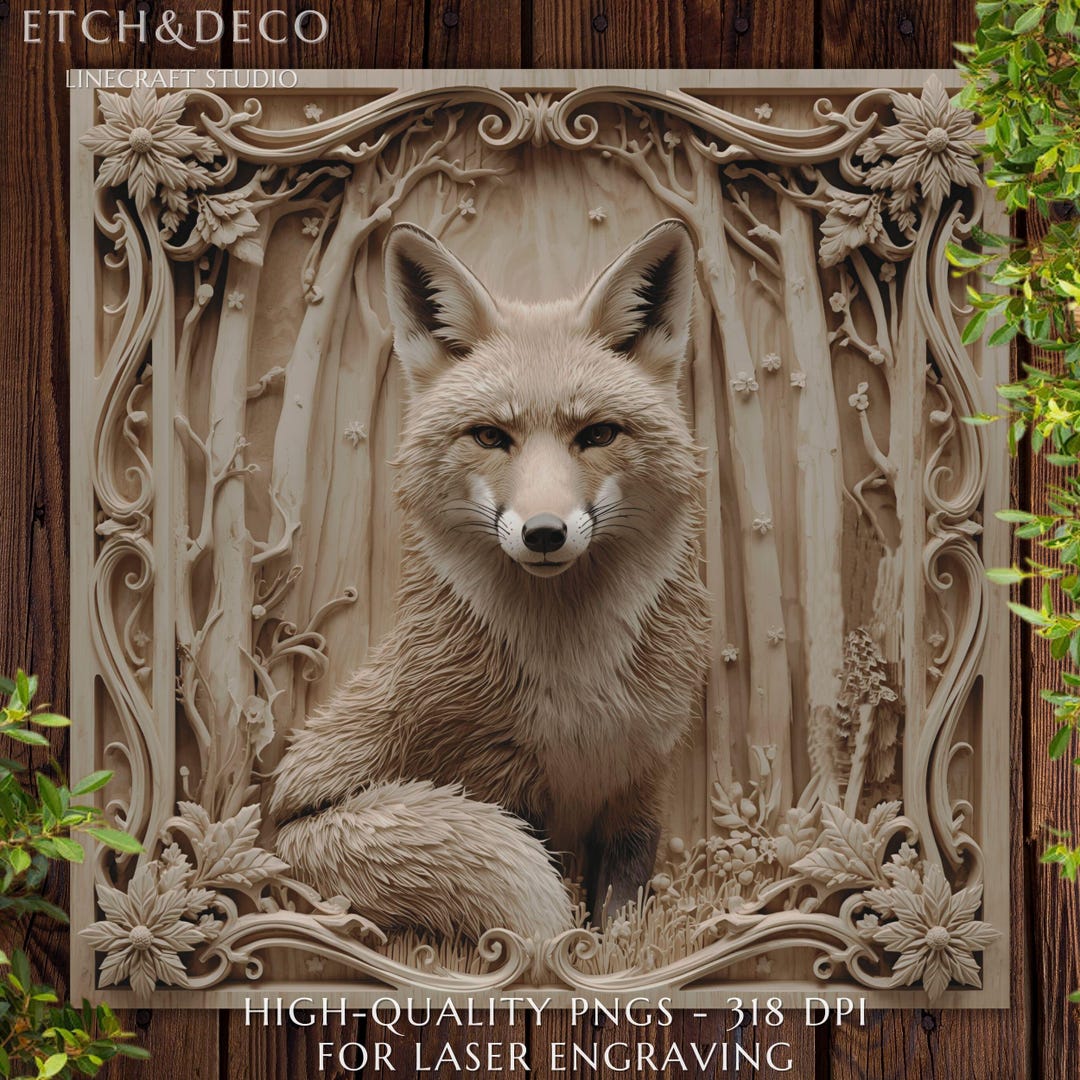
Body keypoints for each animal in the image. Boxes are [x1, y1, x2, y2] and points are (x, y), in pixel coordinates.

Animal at [269, 217, 710, 942]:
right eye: (489, 436)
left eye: (598, 434)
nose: (544, 533)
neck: (575, 682)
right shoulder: (493, 774)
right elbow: (550, 894)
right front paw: (557, 955)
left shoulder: (643, 775)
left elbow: (620, 912)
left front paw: (611, 956)